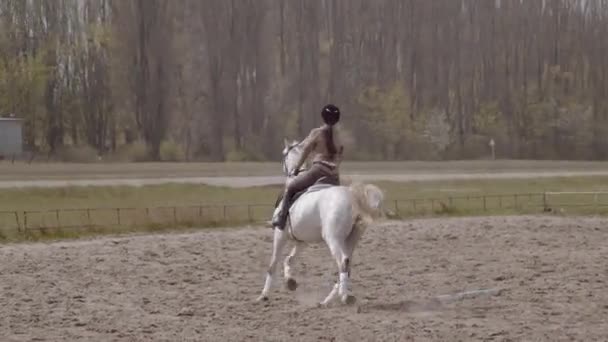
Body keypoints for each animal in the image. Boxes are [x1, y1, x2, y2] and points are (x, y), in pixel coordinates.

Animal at [256, 139, 384, 304]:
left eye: (283, 155)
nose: (288, 171)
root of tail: (353, 198)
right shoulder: (302, 242)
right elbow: (289, 260)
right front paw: (290, 282)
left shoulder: (280, 235)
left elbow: (273, 264)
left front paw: (264, 295)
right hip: (350, 240)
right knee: (346, 266)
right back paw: (327, 300)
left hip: (333, 239)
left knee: (343, 262)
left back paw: (344, 296)